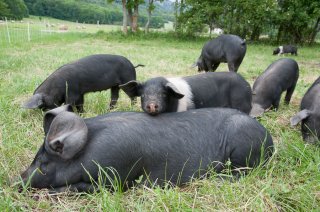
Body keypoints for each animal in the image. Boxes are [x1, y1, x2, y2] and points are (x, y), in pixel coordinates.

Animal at [19, 105, 272, 193]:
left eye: (43, 164)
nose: (17, 180)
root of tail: (270, 139)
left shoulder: (115, 176)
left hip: (243, 149)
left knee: (242, 172)